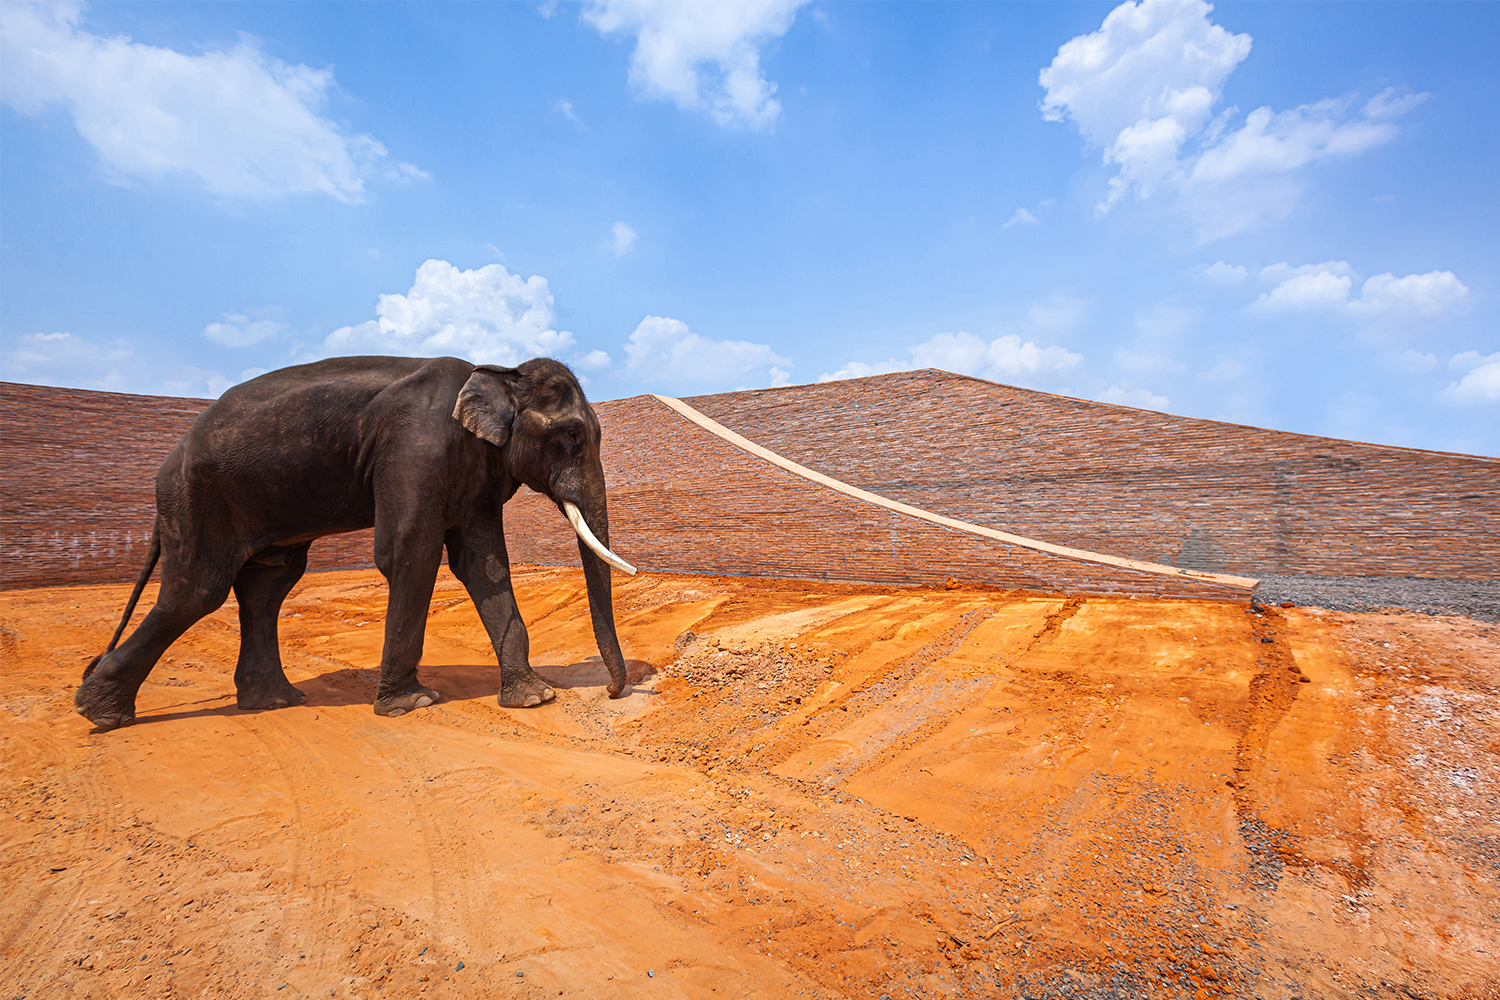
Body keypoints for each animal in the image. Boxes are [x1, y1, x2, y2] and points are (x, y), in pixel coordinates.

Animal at [75, 355, 636, 732]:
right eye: (571, 436)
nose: (613, 691)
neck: (499, 372)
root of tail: (170, 456)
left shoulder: (472, 473)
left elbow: (484, 564)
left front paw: (534, 698)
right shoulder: (414, 449)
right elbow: (409, 552)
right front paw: (411, 705)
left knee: (268, 585)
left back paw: (275, 701)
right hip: (196, 500)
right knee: (197, 591)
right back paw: (98, 712)